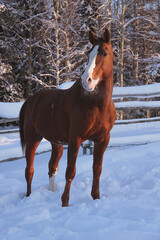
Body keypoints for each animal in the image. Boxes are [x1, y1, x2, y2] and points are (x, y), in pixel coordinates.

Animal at [19, 29, 115, 206]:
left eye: (105, 53)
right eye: (88, 54)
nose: (87, 81)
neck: (96, 105)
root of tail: (31, 100)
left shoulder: (102, 139)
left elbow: (97, 169)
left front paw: (96, 197)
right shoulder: (75, 139)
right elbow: (70, 171)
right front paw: (65, 203)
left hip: (56, 143)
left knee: (52, 167)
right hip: (33, 139)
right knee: (29, 170)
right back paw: (28, 197)